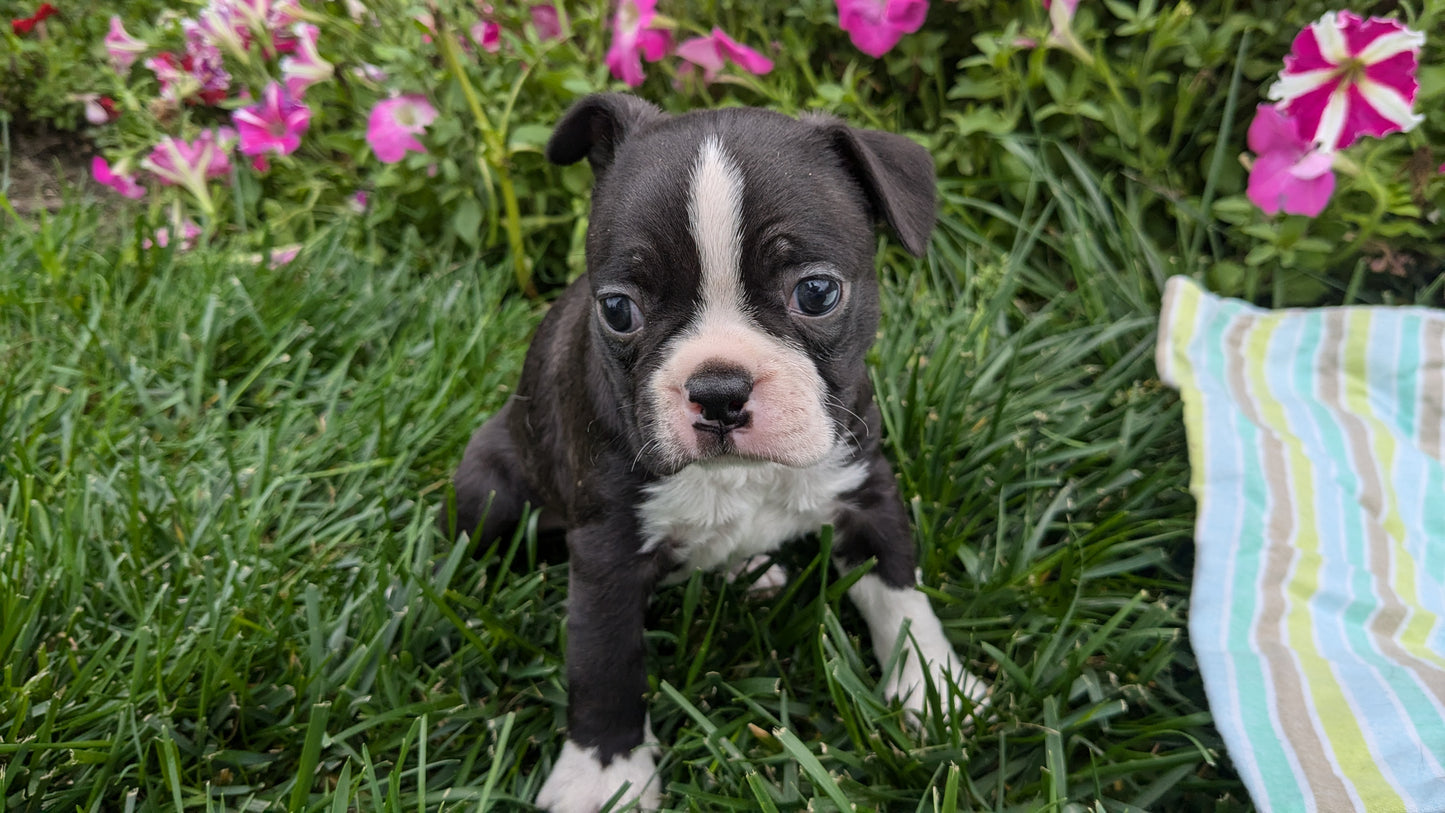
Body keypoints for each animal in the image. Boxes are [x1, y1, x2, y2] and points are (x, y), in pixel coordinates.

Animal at [445, 92, 988, 808]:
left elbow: (901, 592)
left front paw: (933, 689)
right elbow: (604, 661)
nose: (720, 390)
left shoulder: (865, 486)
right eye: (617, 310)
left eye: (817, 292)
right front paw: (603, 775)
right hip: (489, 486)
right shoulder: (607, 550)